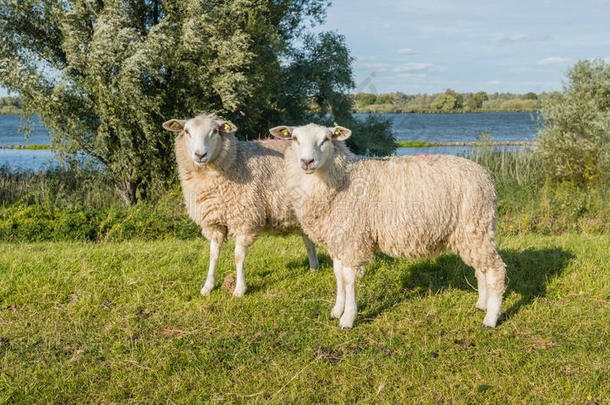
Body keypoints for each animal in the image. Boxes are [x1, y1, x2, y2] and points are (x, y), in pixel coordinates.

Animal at [162, 113, 318, 296]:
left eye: (215, 131)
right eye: (187, 131)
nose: (200, 155)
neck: (235, 160)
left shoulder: (245, 218)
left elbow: (238, 256)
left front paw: (239, 289)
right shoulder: (215, 222)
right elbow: (213, 254)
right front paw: (208, 286)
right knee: (308, 239)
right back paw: (314, 268)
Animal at [270, 123, 504, 328]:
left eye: (326, 139)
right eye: (294, 138)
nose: (307, 162)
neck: (343, 176)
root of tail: (485, 174)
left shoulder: (353, 238)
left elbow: (348, 278)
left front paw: (348, 318)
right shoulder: (339, 239)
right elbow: (338, 275)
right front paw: (337, 309)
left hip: (476, 223)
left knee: (495, 269)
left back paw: (491, 318)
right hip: (471, 231)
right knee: (481, 268)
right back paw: (482, 304)